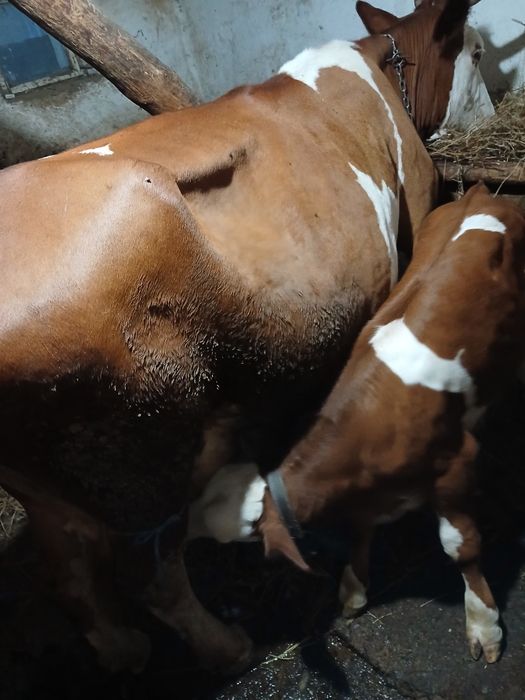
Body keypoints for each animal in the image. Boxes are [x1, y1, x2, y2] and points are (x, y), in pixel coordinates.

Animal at [0, 0, 493, 673]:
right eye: (475, 52)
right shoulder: (413, 205)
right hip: (146, 448)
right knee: (148, 573)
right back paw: (229, 649)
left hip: (44, 478)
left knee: (68, 566)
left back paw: (124, 652)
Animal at [220, 183, 524, 664]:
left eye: (241, 537)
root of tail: (480, 194)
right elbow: (359, 527)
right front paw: (354, 587)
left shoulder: (456, 464)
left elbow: (461, 548)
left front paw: (483, 625)